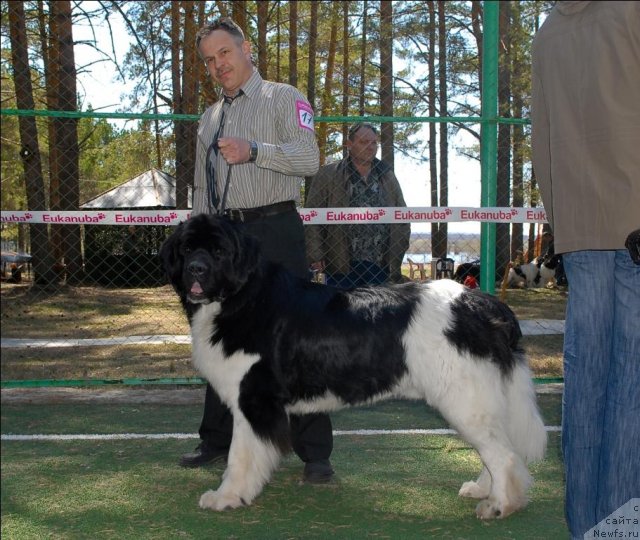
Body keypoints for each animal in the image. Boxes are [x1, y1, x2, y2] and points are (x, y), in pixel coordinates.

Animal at [160, 214, 544, 520]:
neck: (241, 298)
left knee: (504, 456)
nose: (196, 269)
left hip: (464, 399)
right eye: (187, 249)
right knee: (499, 449)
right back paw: (483, 489)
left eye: (219, 252)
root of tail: (485, 304)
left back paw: (499, 505)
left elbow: (240, 456)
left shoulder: (253, 401)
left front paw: (227, 497)